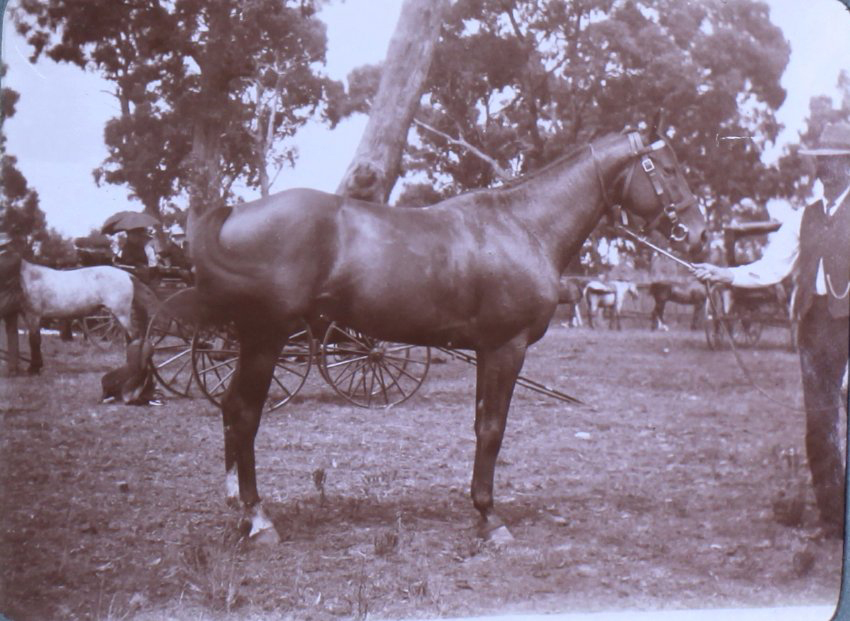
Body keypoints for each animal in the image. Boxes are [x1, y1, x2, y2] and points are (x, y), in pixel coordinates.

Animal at [18, 260, 159, 374]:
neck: (31, 277)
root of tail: (126, 274)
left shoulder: (33, 315)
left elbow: (34, 340)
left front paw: (33, 369)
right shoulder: (27, 316)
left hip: (121, 313)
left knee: (133, 335)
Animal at [187, 128, 706, 542]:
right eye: (669, 168)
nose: (698, 233)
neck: (522, 225)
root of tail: (235, 212)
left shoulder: (486, 350)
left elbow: (480, 425)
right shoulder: (505, 348)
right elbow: (492, 429)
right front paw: (490, 519)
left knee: (232, 411)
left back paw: (240, 507)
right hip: (264, 339)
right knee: (244, 413)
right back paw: (259, 519)